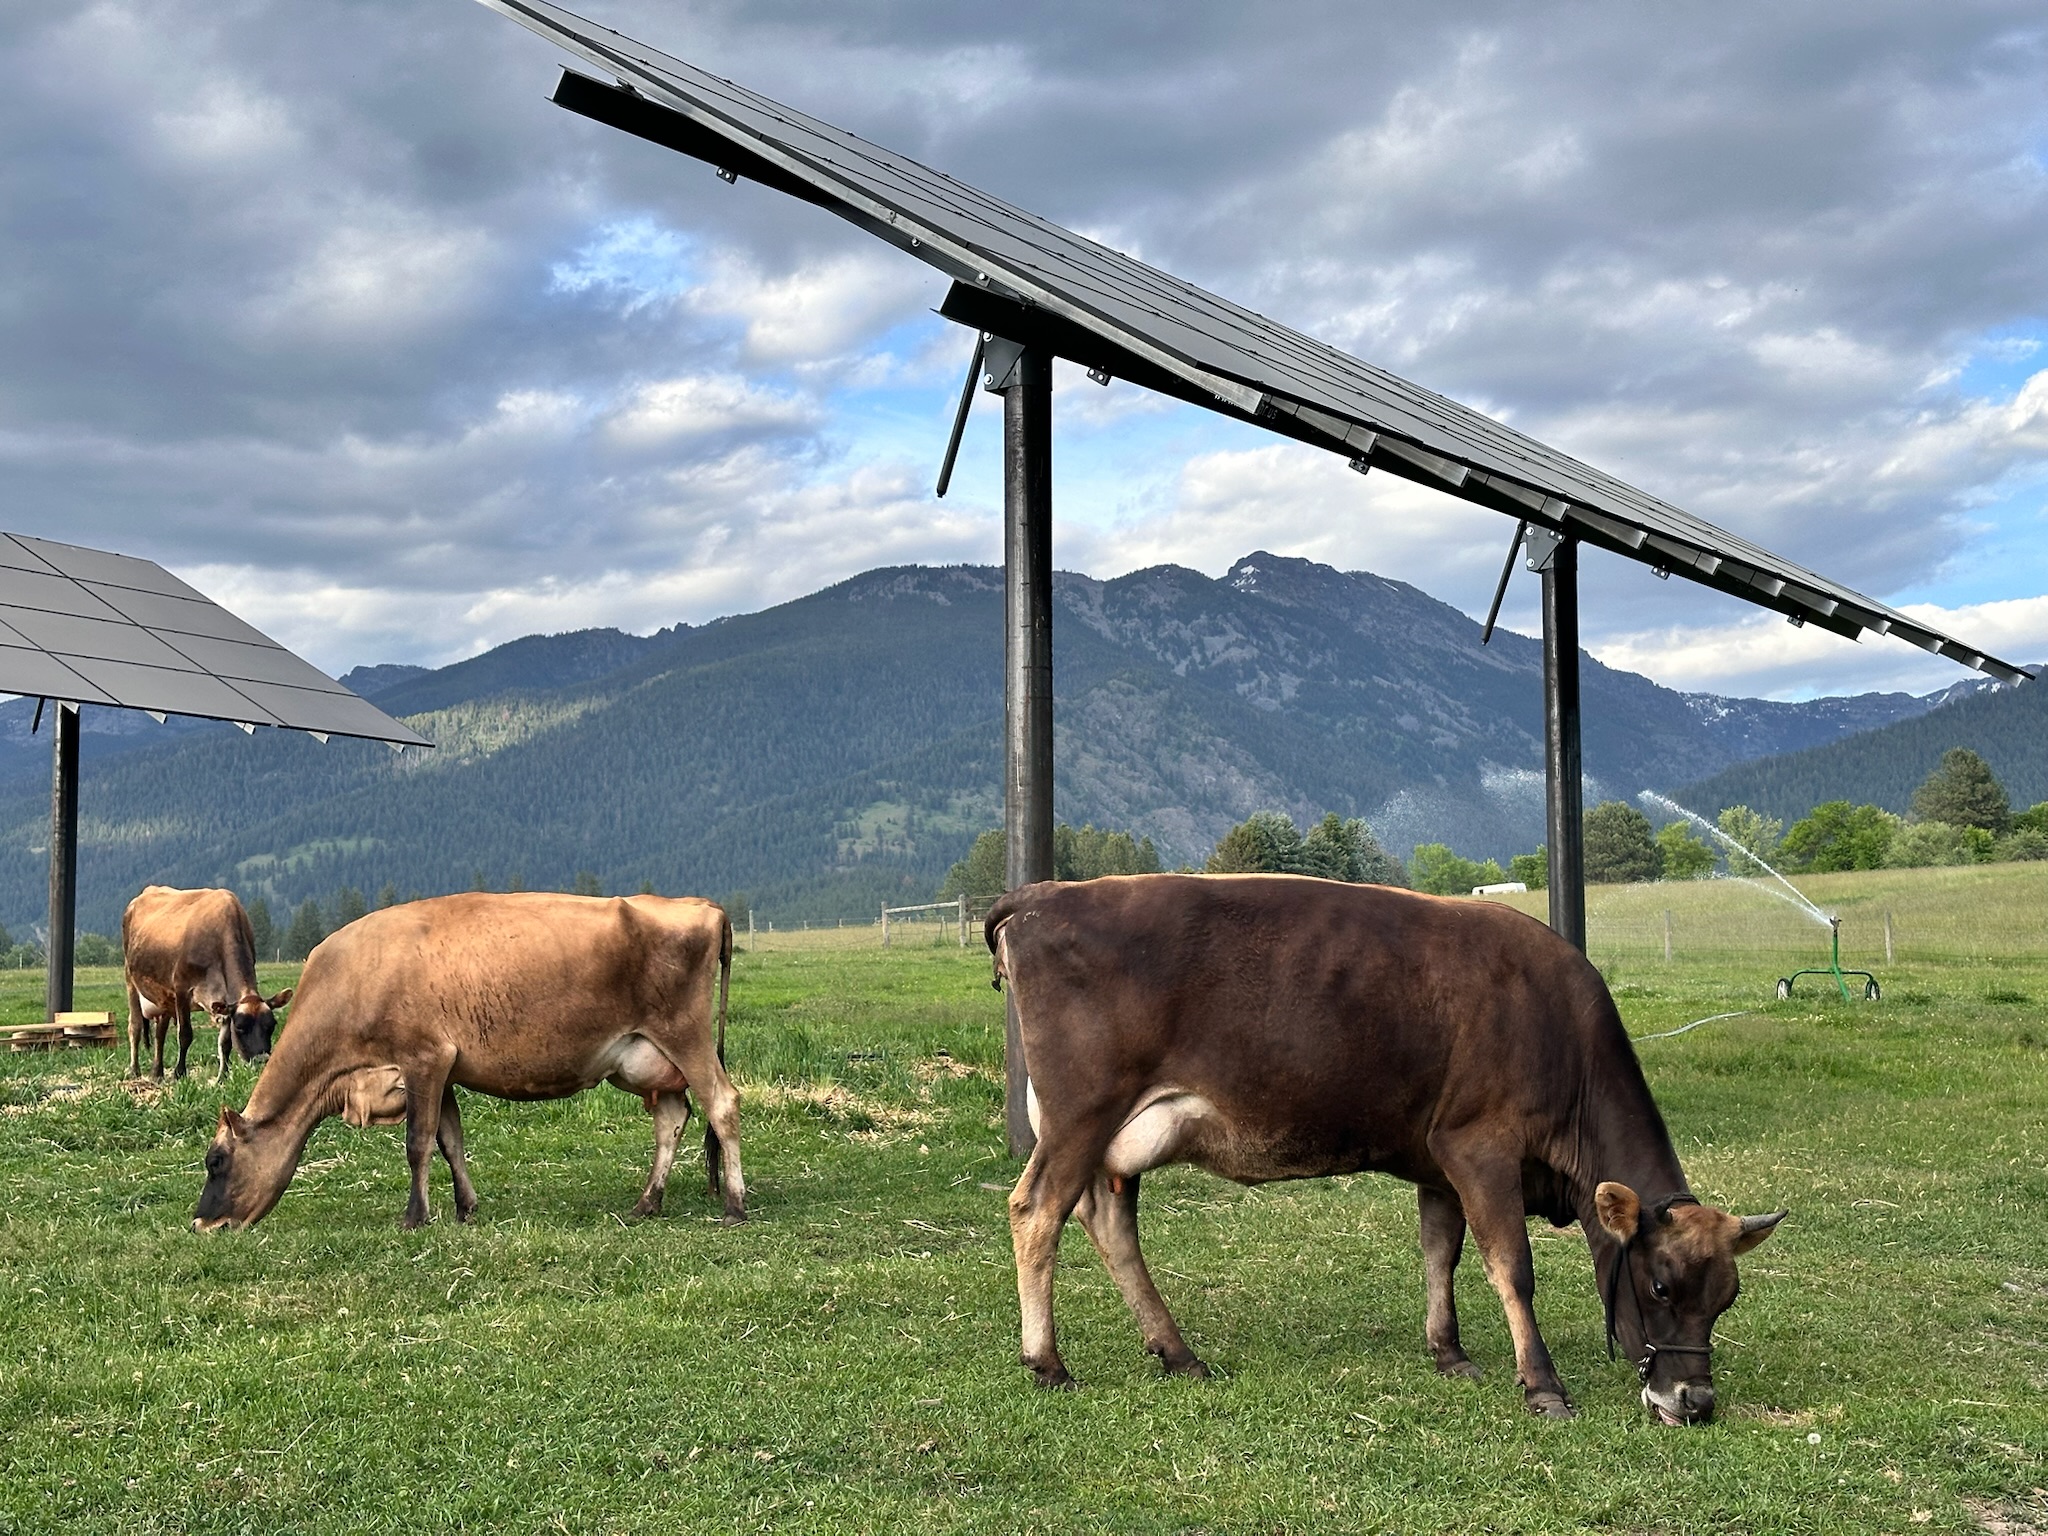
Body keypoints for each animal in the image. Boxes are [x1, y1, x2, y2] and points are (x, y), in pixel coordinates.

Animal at [123, 886, 292, 1081]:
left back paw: (157, 1073)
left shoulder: (224, 998)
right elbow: (185, 1034)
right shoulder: (182, 989)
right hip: (131, 980)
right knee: (135, 1025)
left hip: (163, 994)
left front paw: (223, 1076)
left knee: (160, 1033)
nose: (262, 1060)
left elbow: (225, 1042)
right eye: (240, 1027)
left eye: (272, 1025)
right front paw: (179, 1073)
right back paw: (134, 1070)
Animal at [191, 892, 744, 1233]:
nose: (201, 1223)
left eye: (216, 1161)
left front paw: (415, 1216)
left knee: (723, 1103)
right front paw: (465, 1207)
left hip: (685, 1037)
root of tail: (705, 907)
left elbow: (417, 1143)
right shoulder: (445, 1071)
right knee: (672, 1120)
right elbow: (450, 1140)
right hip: (651, 1060)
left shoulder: (424, 1058)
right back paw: (647, 1202)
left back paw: (734, 1206)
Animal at [987, 873, 1786, 1424]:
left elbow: (1441, 1252)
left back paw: (1178, 1353)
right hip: (1083, 1113)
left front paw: (1450, 1353)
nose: (1694, 1400)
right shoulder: (1479, 1145)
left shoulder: (1439, 1162)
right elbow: (1512, 1267)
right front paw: (1543, 1385)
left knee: (1107, 1222)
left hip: (1114, 1138)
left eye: (1728, 1297)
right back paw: (1048, 1362)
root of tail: (1042, 893)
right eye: (1660, 1285)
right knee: (1037, 1211)